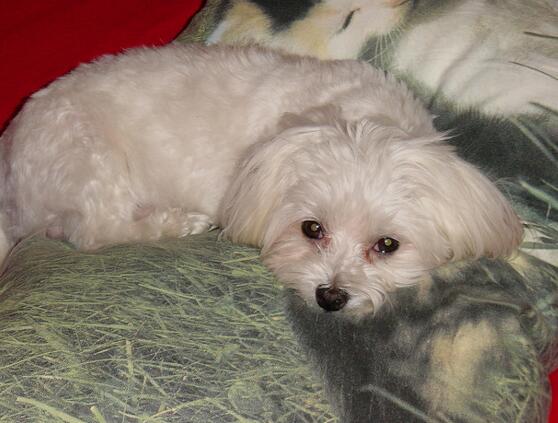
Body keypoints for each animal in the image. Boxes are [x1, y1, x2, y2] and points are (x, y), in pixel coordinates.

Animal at [0, 44, 522, 314]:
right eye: (312, 229)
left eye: (387, 245)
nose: (331, 297)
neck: (358, 120)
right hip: (91, 158)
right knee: (97, 231)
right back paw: (177, 221)